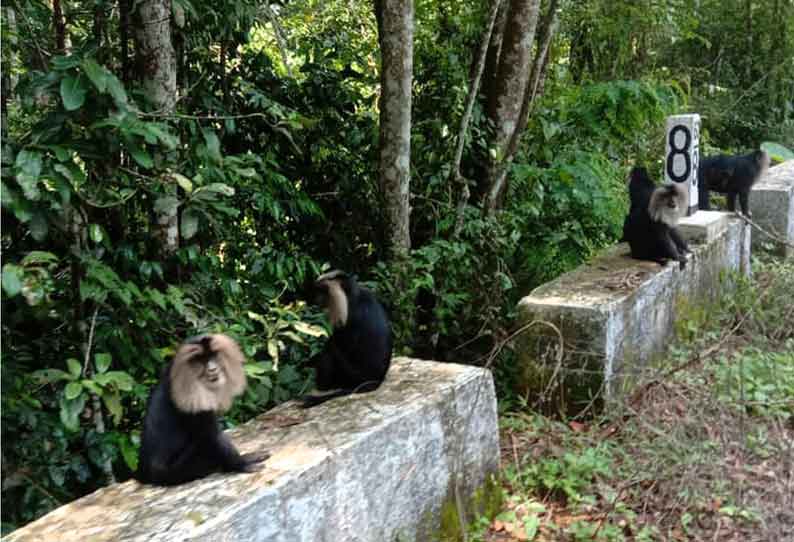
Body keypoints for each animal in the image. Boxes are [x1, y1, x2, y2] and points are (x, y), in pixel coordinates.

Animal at [136, 336, 270, 488]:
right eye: (202, 359)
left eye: (213, 356)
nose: (212, 368)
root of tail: (145, 476)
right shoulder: (194, 400)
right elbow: (212, 437)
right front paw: (242, 463)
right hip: (179, 469)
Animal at [302, 270, 392, 410]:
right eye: (319, 291)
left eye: (324, 291)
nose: (317, 299)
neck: (354, 297)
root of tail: (376, 380)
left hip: (350, 375)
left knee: (329, 351)